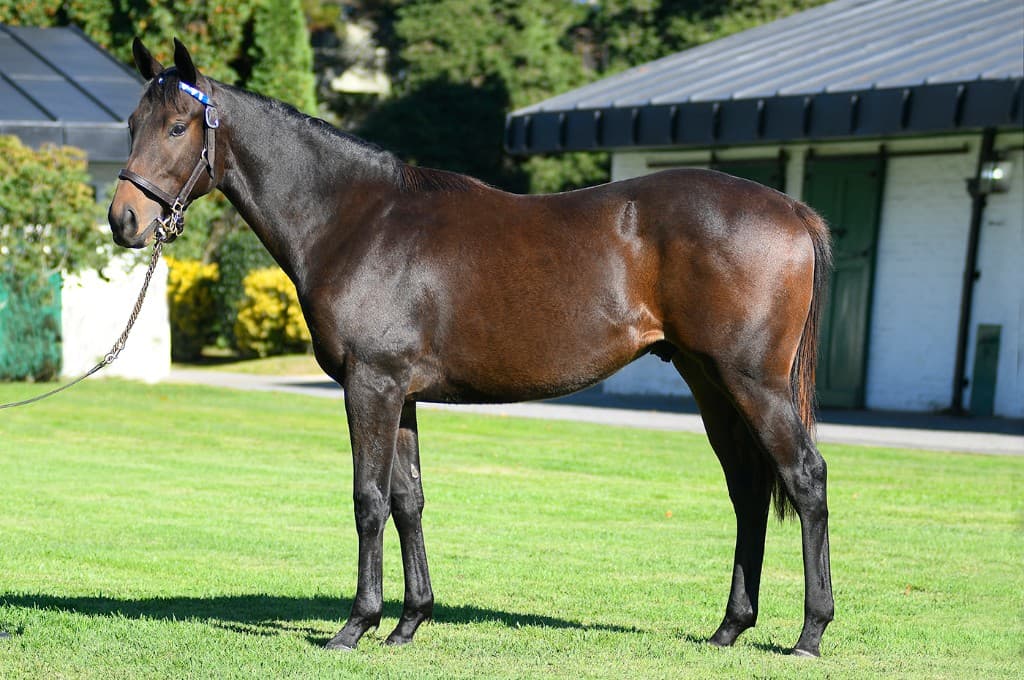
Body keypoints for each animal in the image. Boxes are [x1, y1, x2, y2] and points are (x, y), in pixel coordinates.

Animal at [108, 38, 834, 657]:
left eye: (178, 127)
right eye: (132, 123)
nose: (124, 221)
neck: (357, 221)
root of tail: (793, 211)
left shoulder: (369, 385)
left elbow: (368, 500)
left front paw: (355, 625)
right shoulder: (398, 394)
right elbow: (408, 501)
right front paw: (407, 623)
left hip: (752, 383)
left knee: (805, 478)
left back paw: (810, 632)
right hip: (709, 381)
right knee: (747, 489)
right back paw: (730, 628)